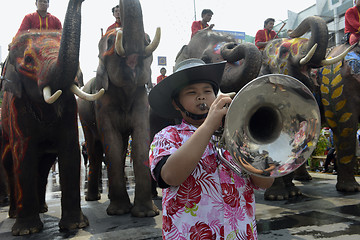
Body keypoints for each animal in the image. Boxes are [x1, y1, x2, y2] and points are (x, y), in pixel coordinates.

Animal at [0, 0, 103, 236]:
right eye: (28, 60)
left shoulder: (69, 108)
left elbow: (70, 151)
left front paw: (75, 226)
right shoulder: (17, 108)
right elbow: (23, 155)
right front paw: (26, 231)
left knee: (44, 165)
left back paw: (43, 208)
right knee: (9, 163)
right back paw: (13, 214)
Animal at [78, 0, 160, 218]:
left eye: (148, 39)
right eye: (110, 41)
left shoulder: (142, 100)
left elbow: (140, 138)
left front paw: (146, 214)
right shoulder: (101, 104)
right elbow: (111, 142)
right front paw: (119, 211)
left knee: (123, 148)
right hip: (84, 118)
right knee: (94, 151)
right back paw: (92, 198)